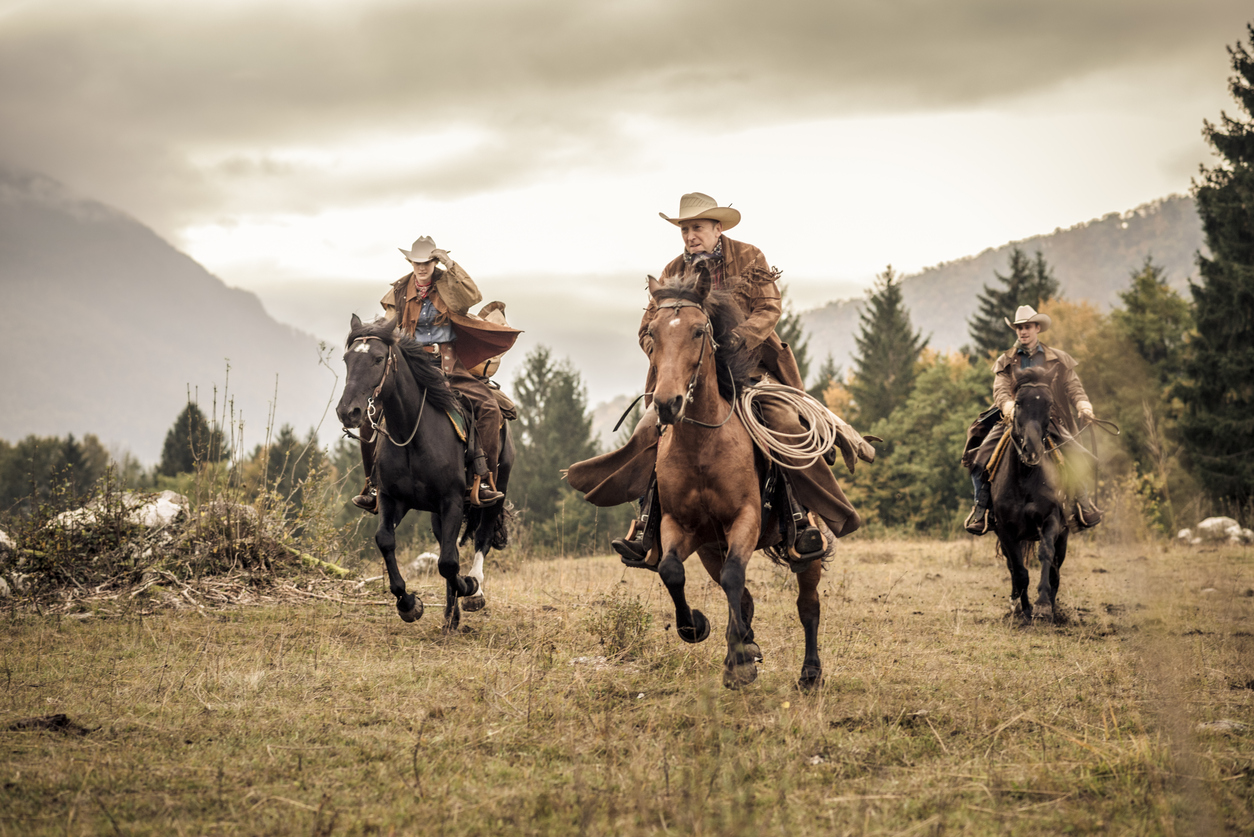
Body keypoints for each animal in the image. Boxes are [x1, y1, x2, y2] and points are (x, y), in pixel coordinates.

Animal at [338, 317, 514, 632]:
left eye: (378, 358)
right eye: (347, 359)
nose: (348, 412)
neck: (412, 431)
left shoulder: (452, 501)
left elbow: (448, 563)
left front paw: (468, 586)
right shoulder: (392, 499)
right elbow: (386, 541)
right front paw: (408, 604)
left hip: (495, 492)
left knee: (481, 538)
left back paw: (474, 592)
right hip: (436, 514)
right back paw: (450, 617)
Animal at [647, 272, 822, 692]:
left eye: (698, 331)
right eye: (651, 333)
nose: (667, 403)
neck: (701, 445)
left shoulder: (745, 519)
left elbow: (733, 578)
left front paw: (739, 661)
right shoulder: (680, 526)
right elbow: (672, 571)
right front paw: (697, 627)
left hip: (806, 552)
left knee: (807, 606)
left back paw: (810, 673)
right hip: (711, 548)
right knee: (741, 596)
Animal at [988, 366, 1068, 622]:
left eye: (1049, 404)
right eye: (1018, 403)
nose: (1032, 451)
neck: (1025, 476)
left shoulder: (1051, 520)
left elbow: (1046, 555)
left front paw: (1043, 605)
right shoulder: (1005, 530)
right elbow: (1019, 569)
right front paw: (1023, 610)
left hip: (1064, 535)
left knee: (1056, 569)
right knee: (1013, 568)